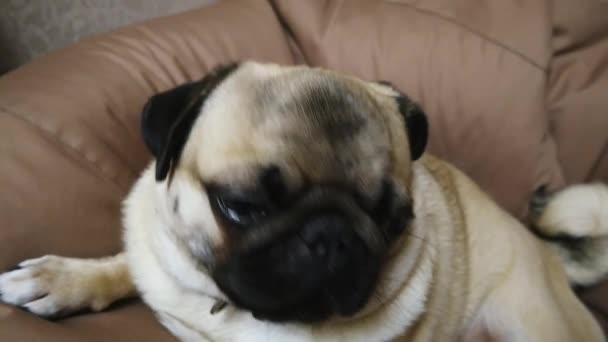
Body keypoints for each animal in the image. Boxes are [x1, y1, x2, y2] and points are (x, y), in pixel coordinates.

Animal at [1, 62, 608, 342]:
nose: (333, 236)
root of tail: (546, 253)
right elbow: (132, 264)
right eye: (240, 206)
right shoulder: (163, 256)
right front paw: (66, 279)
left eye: (393, 222)